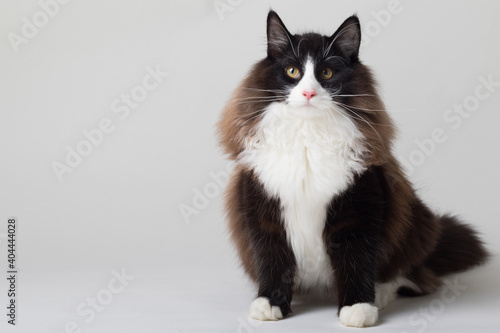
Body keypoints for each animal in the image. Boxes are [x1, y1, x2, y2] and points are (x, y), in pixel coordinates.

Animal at [216, 10, 488, 326]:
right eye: (293, 72)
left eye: (326, 74)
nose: (308, 94)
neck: (308, 138)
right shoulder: (263, 212)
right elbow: (272, 261)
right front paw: (270, 303)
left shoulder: (359, 207)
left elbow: (356, 262)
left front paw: (358, 307)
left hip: (415, 225)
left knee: (409, 276)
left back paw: (380, 294)